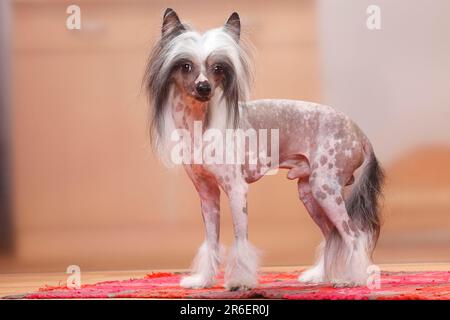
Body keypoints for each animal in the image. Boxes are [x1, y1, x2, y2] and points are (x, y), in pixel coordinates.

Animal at [144, 9, 384, 290]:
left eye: (218, 68)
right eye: (186, 66)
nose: (204, 87)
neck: (200, 124)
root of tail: (359, 132)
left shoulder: (236, 189)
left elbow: (240, 241)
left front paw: (240, 282)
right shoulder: (207, 195)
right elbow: (211, 241)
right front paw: (202, 280)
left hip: (326, 188)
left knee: (353, 235)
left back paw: (354, 279)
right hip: (309, 192)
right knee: (333, 235)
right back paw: (321, 276)